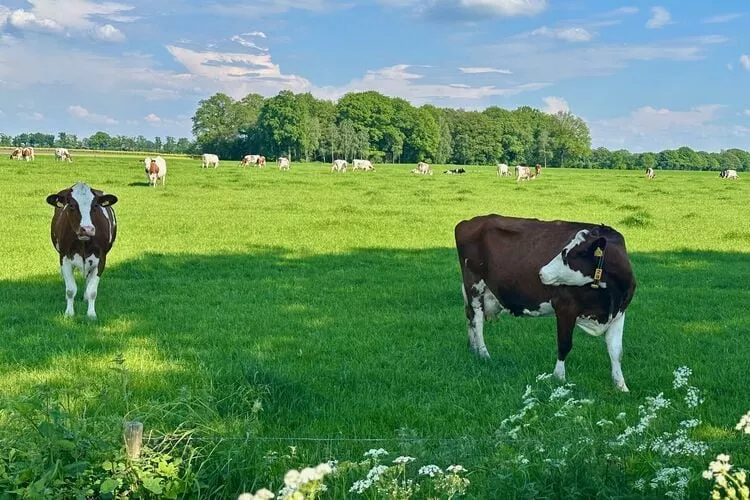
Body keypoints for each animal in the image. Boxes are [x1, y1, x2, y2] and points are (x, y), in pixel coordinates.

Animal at [46, 182, 119, 318]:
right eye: (71, 205)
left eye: (95, 205)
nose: (87, 229)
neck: (83, 243)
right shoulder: (64, 257)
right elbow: (70, 290)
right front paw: (69, 313)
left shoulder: (101, 259)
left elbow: (92, 291)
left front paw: (91, 314)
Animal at [456, 213, 636, 392]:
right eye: (563, 250)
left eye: (568, 254)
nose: (541, 272)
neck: (610, 295)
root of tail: (470, 221)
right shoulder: (565, 307)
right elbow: (564, 344)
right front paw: (559, 377)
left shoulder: (619, 313)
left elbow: (616, 350)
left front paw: (621, 385)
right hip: (475, 286)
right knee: (477, 321)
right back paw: (484, 354)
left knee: (470, 318)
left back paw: (473, 350)